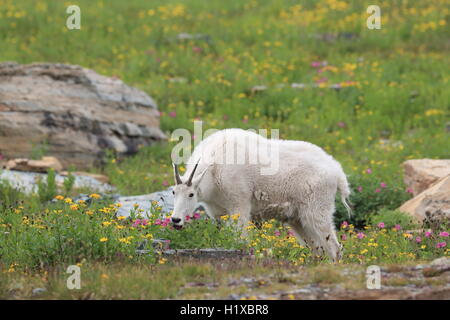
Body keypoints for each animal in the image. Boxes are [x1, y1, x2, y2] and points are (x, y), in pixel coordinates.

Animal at [171, 129, 350, 262]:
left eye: (191, 194)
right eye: (173, 192)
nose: (175, 220)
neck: (214, 170)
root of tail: (338, 173)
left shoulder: (239, 205)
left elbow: (240, 238)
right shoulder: (218, 212)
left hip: (316, 209)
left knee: (334, 246)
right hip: (298, 218)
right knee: (317, 248)